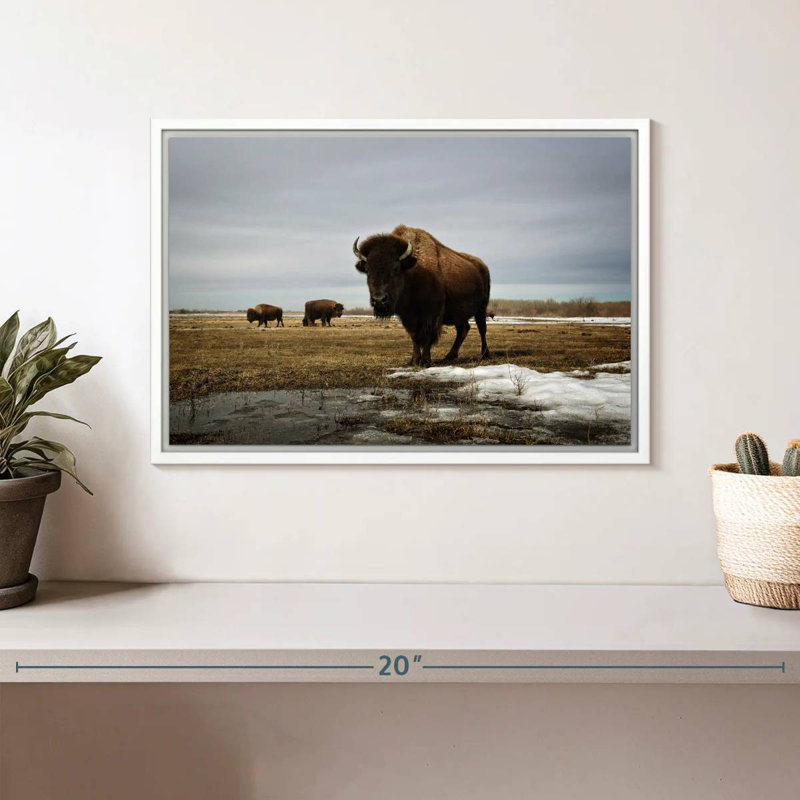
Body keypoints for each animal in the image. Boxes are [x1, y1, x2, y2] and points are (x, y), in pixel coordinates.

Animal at [353, 225, 491, 366]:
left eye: (395, 268)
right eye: (368, 269)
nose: (379, 300)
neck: (413, 272)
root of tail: (482, 266)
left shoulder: (431, 314)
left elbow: (427, 336)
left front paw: (425, 361)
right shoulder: (408, 316)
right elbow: (415, 337)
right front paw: (413, 361)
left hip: (482, 308)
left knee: (482, 329)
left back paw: (485, 355)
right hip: (459, 314)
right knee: (463, 329)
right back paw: (449, 356)